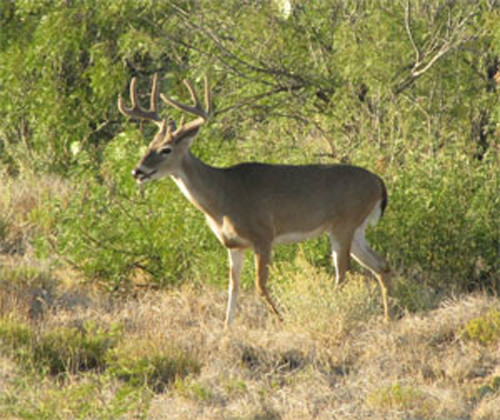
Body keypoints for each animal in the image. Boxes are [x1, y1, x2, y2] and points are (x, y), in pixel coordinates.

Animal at [119, 73, 392, 328]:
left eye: (166, 149)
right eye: (150, 144)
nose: (137, 171)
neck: (222, 197)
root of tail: (379, 183)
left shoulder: (263, 235)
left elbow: (260, 286)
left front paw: (282, 320)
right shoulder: (233, 244)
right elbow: (233, 287)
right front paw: (226, 331)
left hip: (343, 225)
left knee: (343, 276)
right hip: (355, 230)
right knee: (382, 265)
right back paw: (387, 318)